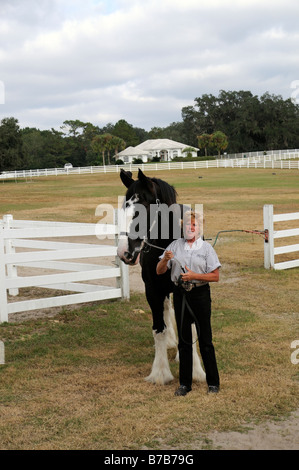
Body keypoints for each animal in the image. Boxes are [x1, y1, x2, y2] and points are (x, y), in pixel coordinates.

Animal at [117, 169, 206, 386]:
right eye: (124, 209)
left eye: (140, 211)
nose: (124, 252)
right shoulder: (153, 291)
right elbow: (159, 329)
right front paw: (160, 373)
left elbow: (190, 328)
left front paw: (195, 369)